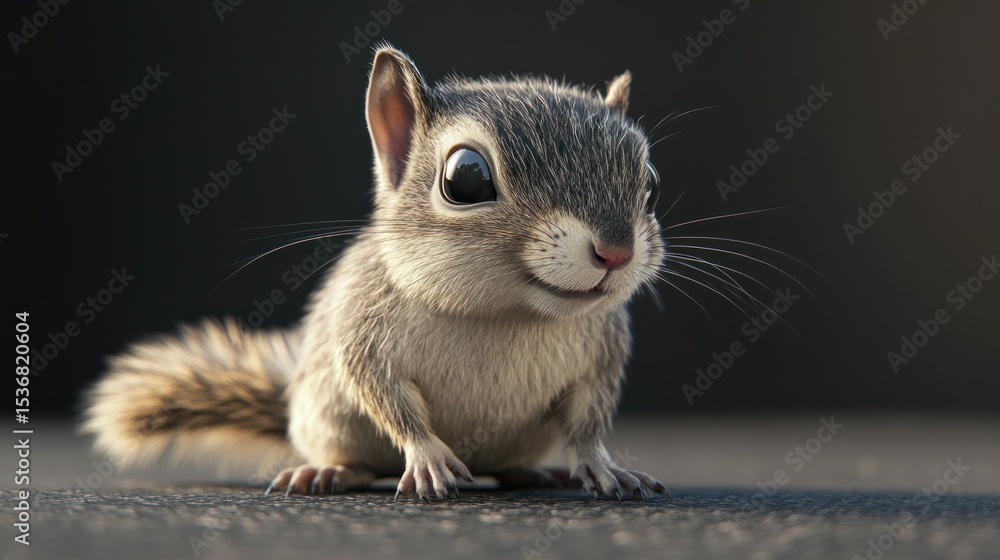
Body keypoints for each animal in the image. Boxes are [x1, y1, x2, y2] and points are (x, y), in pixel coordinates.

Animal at [82, 45, 670, 501]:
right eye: (466, 178)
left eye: (651, 182)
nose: (615, 251)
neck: (505, 314)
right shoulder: (363, 330)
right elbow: (385, 396)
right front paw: (428, 455)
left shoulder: (601, 354)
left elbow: (589, 419)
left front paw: (602, 466)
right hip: (328, 420)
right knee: (357, 461)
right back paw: (326, 471)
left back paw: (535, 472)